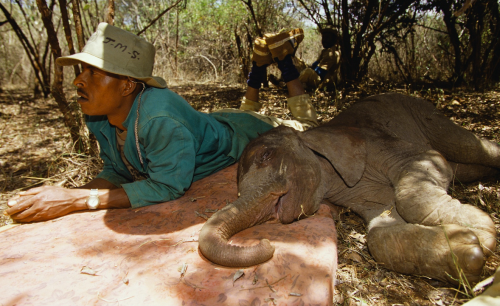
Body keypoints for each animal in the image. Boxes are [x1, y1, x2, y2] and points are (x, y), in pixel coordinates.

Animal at [198, 92, 496, 284]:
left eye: (266, 156)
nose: (267, 242)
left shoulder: (375, 142)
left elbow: (425, 164)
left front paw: (481, 231)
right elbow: (379, 231)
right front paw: (471, 247)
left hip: (423, 113)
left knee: (469, 146)